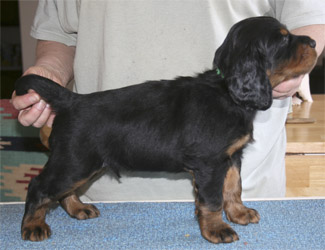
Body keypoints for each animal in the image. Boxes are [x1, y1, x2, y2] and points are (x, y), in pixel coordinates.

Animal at [15, 16, 316, 243]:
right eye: (283, 39)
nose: (314, 42)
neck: (227, 92)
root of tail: (72, 100)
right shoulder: (210, 163)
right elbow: (213, 199)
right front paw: (217, 229)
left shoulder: (231, 157)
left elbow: (233, 187)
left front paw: (239, 214)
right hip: (75, 160)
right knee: (39, 186)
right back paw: (32, 226)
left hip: (84, 164)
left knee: (62, 191)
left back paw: (78, 208)